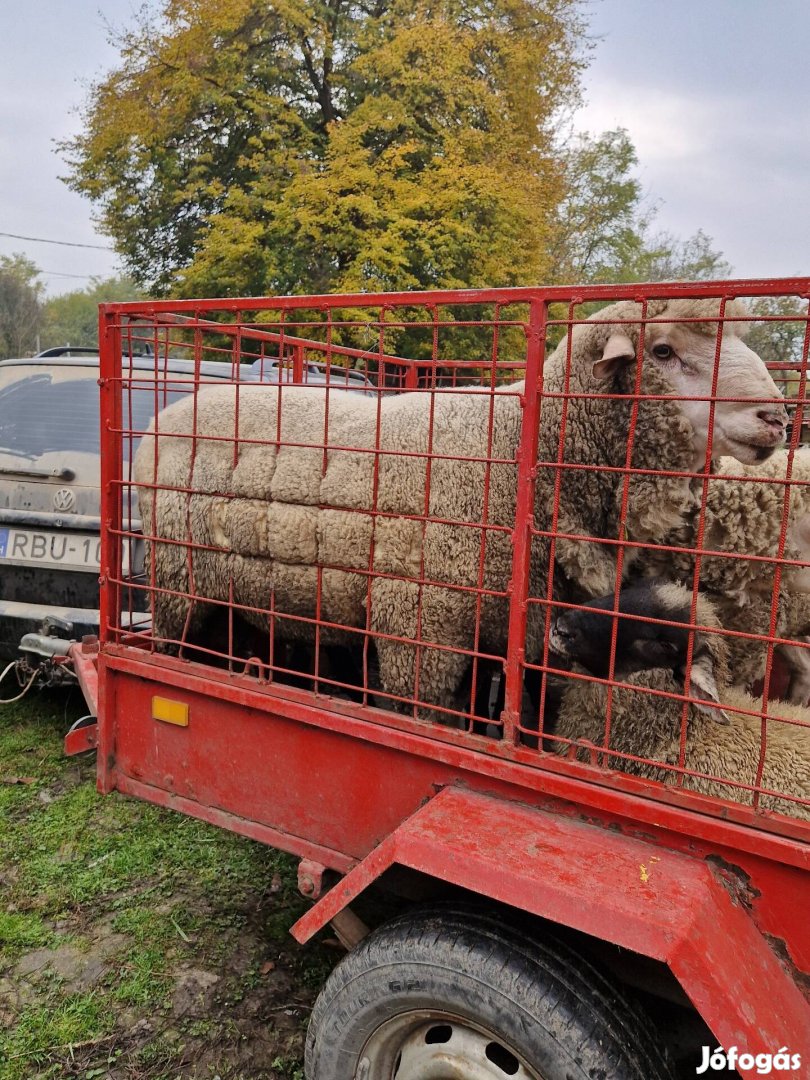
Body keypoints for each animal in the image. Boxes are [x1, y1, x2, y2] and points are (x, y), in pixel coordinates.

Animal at [136, 298, 790, 717]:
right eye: (663, 350)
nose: (778, 419)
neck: (524, 450)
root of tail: (162, 419)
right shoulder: (418, 622)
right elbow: (426, 714)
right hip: (178, 579)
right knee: (173, 644)